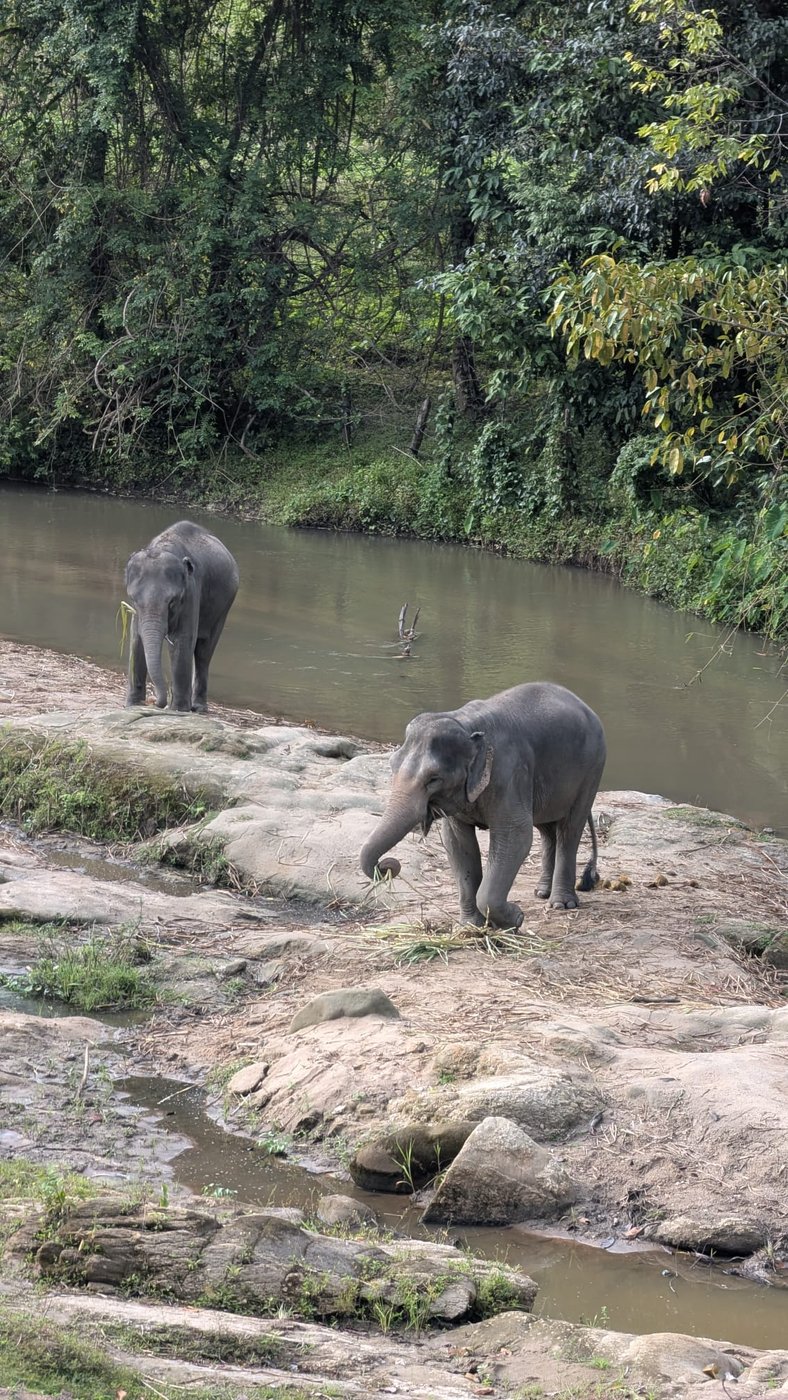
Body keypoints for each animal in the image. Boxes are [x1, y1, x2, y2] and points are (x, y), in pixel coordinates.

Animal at [125, 521, 239, 713]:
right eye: (133, 599)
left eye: (172, 602)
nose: (154, 702)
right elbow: (136, 640)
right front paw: (133, 705)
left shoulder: (191, 591)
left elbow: (182, 640)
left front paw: (178, 710)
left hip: (225, 606)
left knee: (204, 652)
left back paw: (198, 708)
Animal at [360, 682, 606, 928]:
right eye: (392, 765)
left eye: (433, 779)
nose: (386, 865)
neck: (466, 723)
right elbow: (458, 845)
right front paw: (471, 926)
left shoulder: (509, 774)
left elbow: (516, 836)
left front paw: (516, 918)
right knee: (546, 829)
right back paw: (541, 892)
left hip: (592, 770)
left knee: (570, 829)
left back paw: (562, 904)